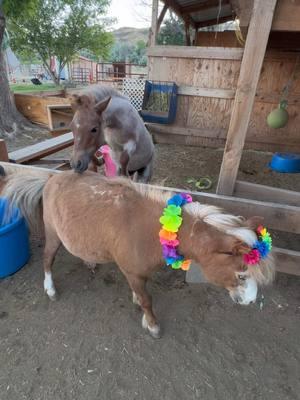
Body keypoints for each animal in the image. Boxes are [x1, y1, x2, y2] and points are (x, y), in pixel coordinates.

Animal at [1, 166, 276, 338]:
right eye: (241, 275)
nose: (252, 301)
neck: (149, 229)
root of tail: (50, 178)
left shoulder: (138, 273)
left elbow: (141, 294)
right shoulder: (133, 272)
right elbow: (146, 299)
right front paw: (152, 325)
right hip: (53, 235)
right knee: (47, 259)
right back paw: (49, 288)